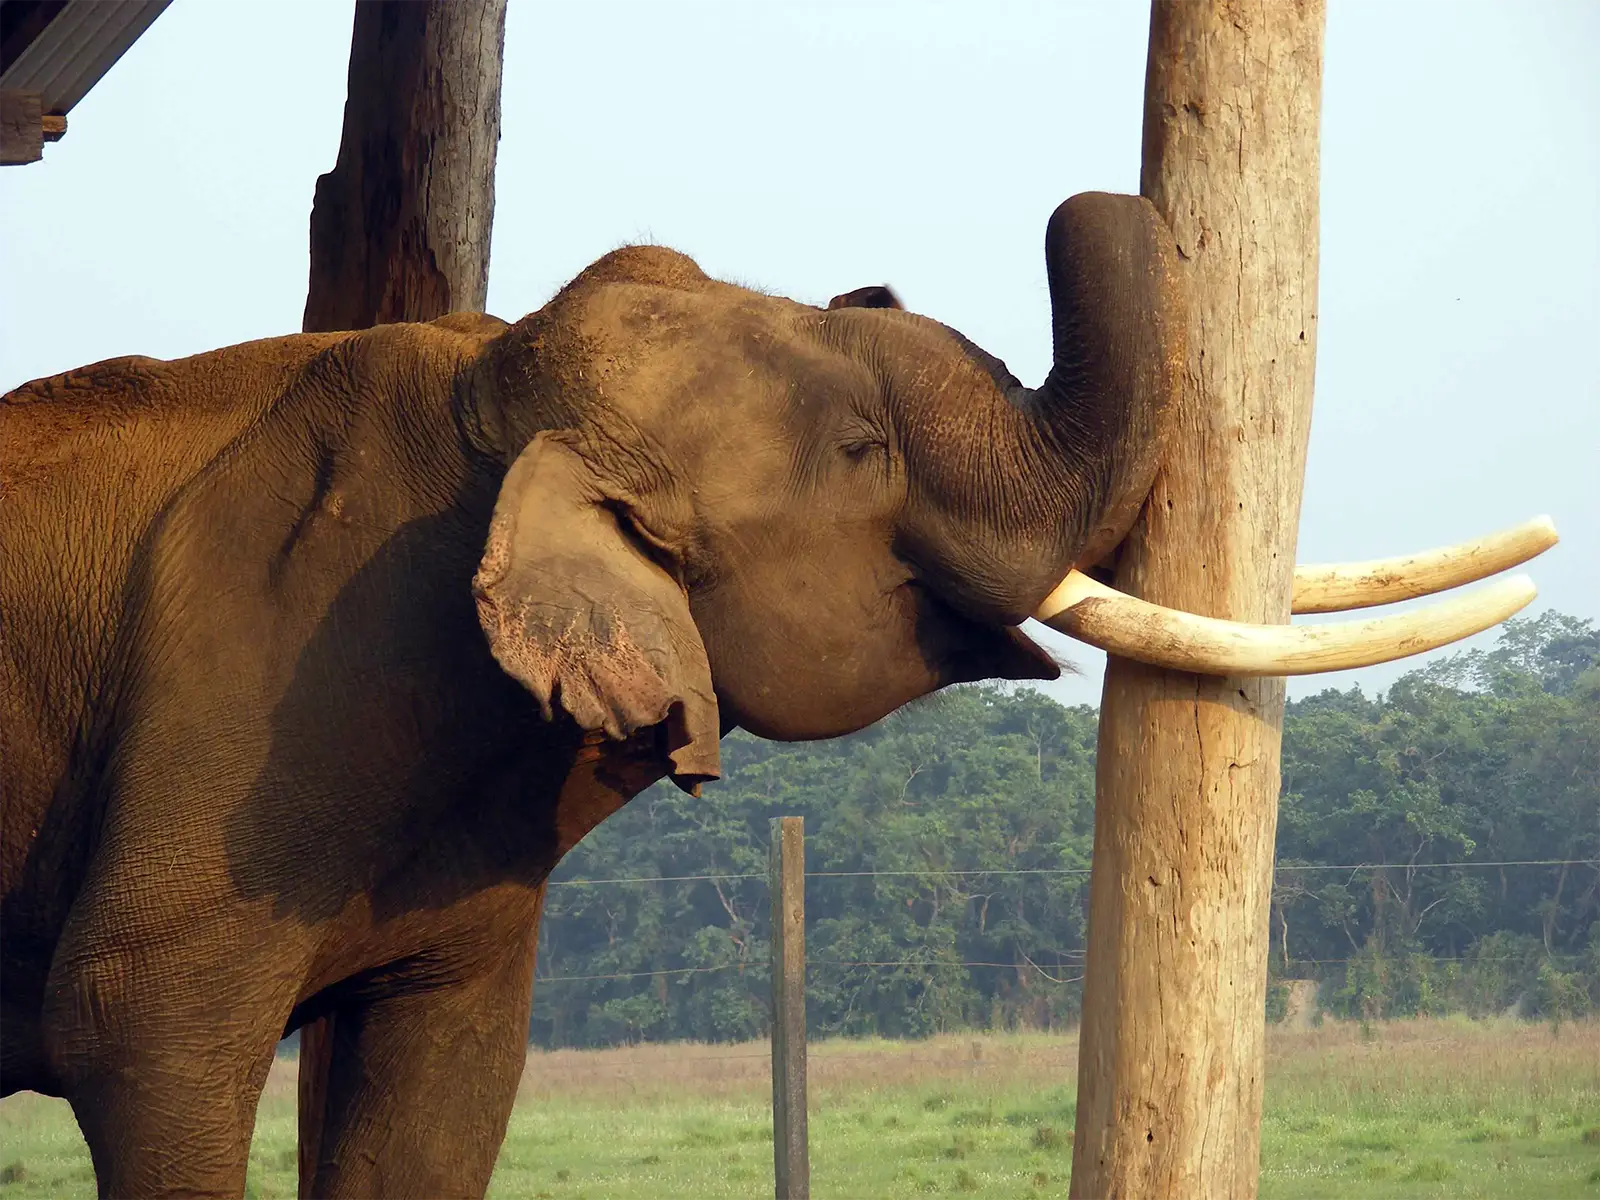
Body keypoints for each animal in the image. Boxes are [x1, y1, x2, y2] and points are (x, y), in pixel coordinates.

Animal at [0, 191, 1185, 1197]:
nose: (1090, 198)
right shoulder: (245, 699)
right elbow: (133, 1020)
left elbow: (454, 1078)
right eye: (861, 451)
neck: (484, 397)